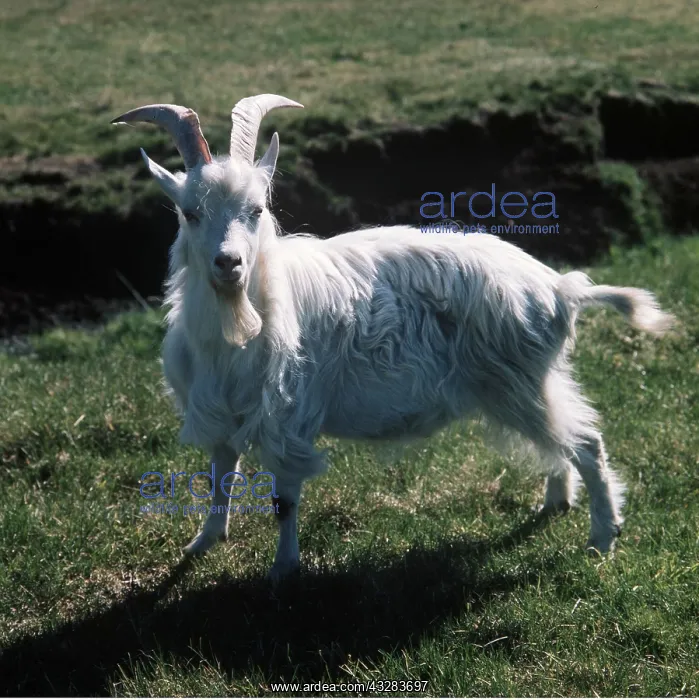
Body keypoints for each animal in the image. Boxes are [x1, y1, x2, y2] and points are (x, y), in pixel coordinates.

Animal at [112, 95, 674, 581]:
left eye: (257, 210)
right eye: (189, 213)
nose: (229, 264)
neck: (238, 327)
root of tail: (558, 288)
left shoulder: (287, 418)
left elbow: (284, 500)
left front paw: (283, 571)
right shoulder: (219, 412)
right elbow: (219, 480)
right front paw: (204, 543)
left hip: (517, 381)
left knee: (586, 442)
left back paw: (602, 537)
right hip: (531, 382)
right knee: (563, 440)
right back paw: (557, 500)